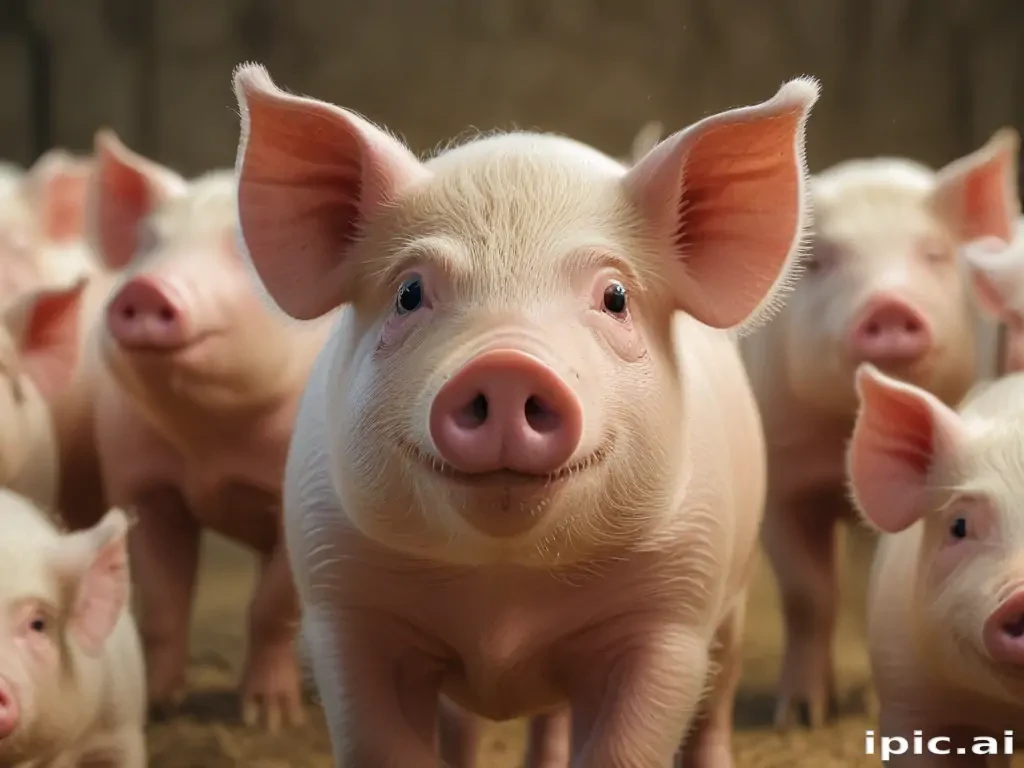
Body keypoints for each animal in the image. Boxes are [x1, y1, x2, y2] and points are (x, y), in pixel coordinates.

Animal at [86, 130, 333, 732]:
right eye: (149, 243)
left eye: (243, 252)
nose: (146, 289)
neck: (209, 447)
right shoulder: (143, 484)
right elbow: (162, 602)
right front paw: (156, 709)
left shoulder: (298, 501)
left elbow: (270, 607)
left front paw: (268, 721)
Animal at [233, 62, 819, 767]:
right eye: (409, 292)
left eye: (615, 297)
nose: (507, 365)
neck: (504, 596)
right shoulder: (343, 605)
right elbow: (384, 743)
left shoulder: (672, 615)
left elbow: (625, 745)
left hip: (731, 601)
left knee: (716, 698)